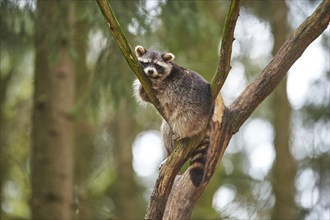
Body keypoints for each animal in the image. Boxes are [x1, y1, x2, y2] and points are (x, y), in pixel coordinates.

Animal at [133, 45, 213, 186]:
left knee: (175, 126)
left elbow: (154, 88)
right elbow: (144, 96)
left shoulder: (164, 85)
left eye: (157, 65)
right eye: (146, 63)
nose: (150, 71)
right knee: (165, 129)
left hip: (191, 115)